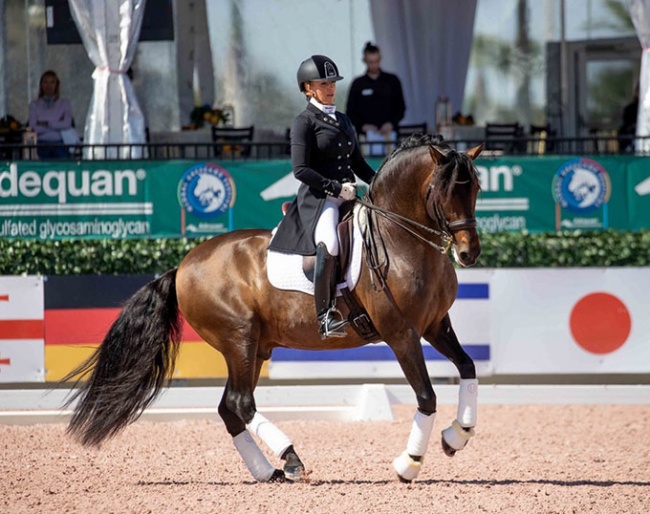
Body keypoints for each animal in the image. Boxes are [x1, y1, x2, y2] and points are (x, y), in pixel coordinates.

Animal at [64, 135, 480, 480]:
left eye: (475, 188)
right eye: (443, 191)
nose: (468, 253)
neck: (400, 240)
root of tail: (183, 266)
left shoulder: (435, 325)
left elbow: (467, 367)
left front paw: (457, 436)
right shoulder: (401, 333)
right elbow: (426, 396)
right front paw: (409, 463)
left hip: (252, 348)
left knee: (229, 408)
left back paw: (267, 471)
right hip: (239, 339)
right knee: (240, 402)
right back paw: (292, 459)